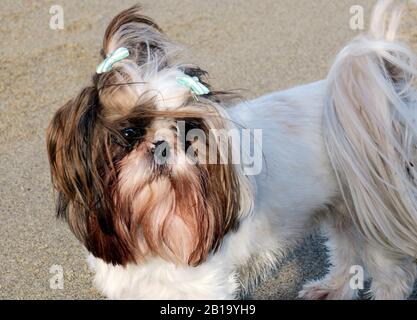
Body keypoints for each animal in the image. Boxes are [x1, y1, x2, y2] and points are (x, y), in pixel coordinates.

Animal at [46, 0, 416, 300]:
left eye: (188, 132)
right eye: (129, 132)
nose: (163, 146)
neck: (150, 220)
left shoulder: (201, 285)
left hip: (377, 212)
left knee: (390, 275)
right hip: (344, 207)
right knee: (346, 251)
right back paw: (333, 288)